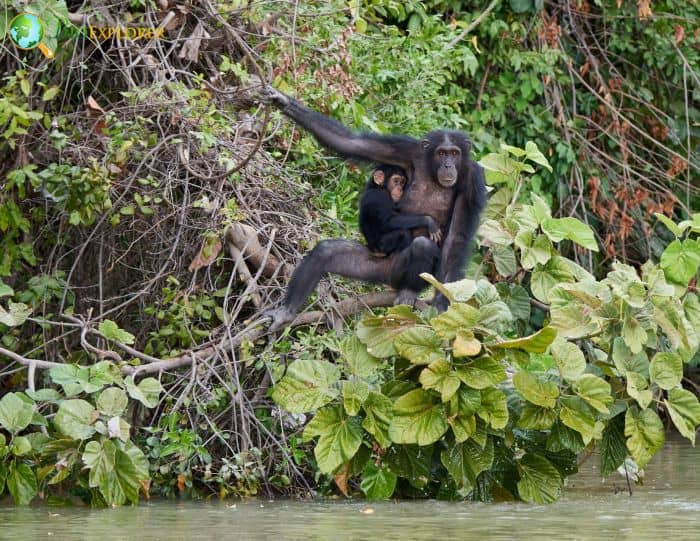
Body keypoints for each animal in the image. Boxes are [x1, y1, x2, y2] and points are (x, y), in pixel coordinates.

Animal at [260, 88, 484, 330]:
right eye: (442, 153)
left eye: (455, 153)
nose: (448, 165)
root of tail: (390, 280)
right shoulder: (406, 150)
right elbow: (353, 143)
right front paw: (283, 101)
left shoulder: (473, 181)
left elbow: (456, 238)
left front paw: (443, 303)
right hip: (379, 267)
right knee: (327, 252)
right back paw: (286, 311)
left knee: (422, 246)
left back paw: (408, 291)